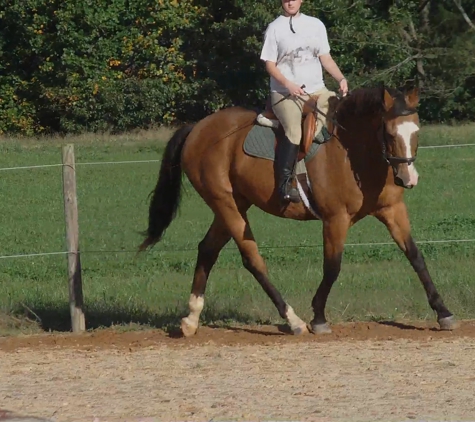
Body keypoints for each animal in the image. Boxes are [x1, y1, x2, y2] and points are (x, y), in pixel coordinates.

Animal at [138, 85, 458, 336]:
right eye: (390, 133)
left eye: (416, 131)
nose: (408, 178)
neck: (355, 151)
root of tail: (198, 127)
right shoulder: (335, 219)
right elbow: (332, 267)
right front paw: (318, 318)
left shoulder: (392, 210)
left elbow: (416, 257)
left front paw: (444, 313)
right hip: (225, 204)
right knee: (252, 258)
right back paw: (293, 320)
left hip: (234, 204)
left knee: (207, 249)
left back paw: (191, 319)